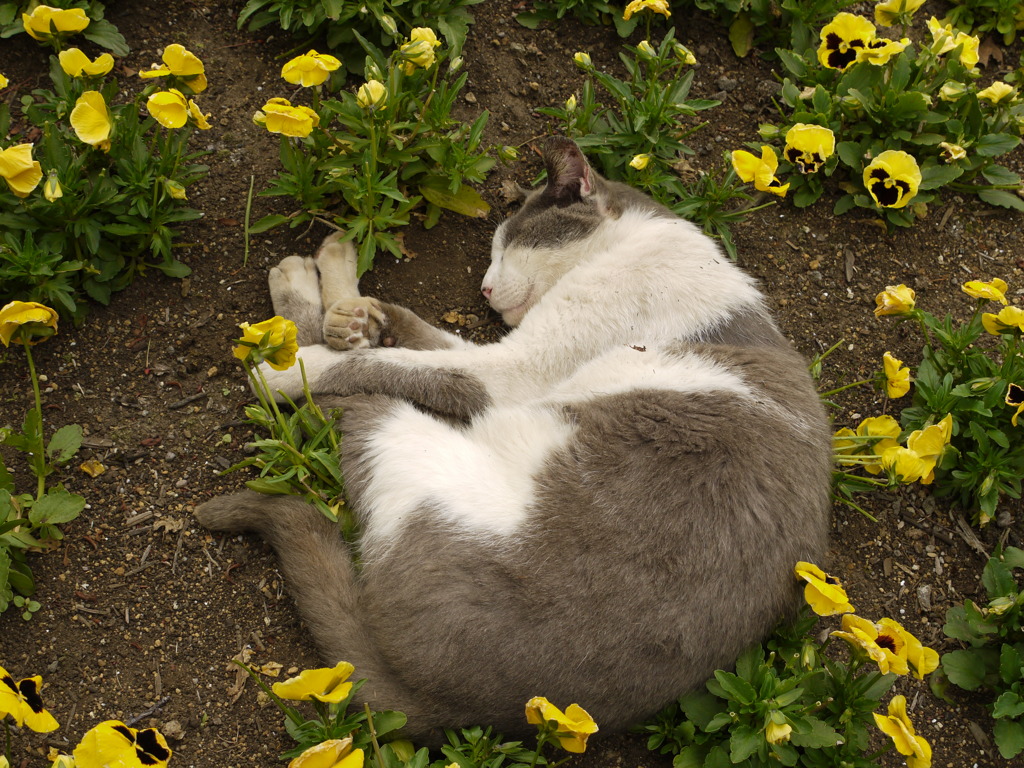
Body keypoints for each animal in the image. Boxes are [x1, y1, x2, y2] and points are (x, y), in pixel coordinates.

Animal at [195, 137, 835, 745]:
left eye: (507, 246)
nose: (483, 287)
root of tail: (479, 710)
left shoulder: (510, 372)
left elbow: (385, 363)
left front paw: (306, 355)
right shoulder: (497, 352)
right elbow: (417, 333)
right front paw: (357, 312)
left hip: (420, 446)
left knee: (333, 409)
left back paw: (284, 348)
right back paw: (324, 268)